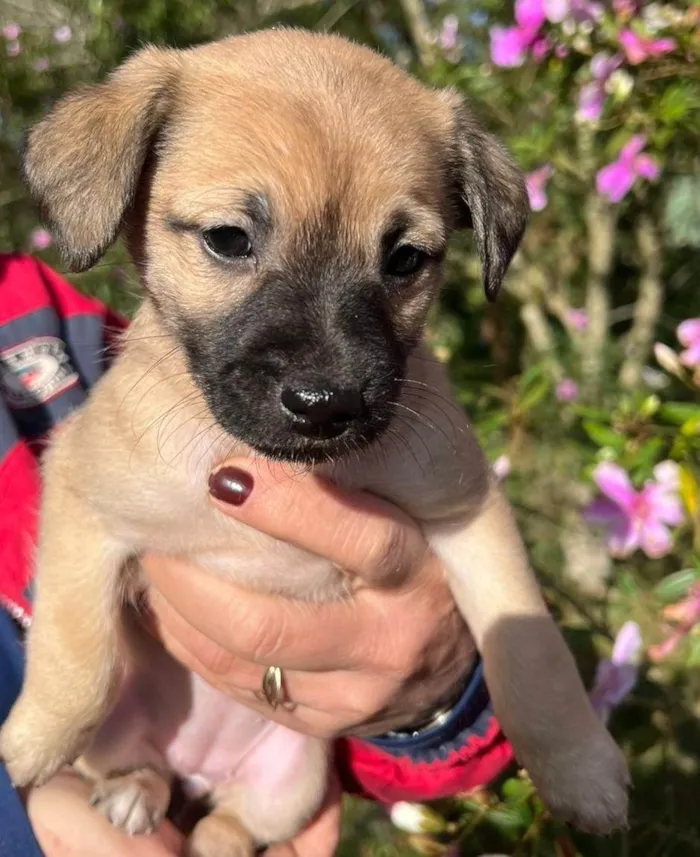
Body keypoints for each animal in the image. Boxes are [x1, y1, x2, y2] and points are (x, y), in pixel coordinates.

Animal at [0, 28, 628, 856]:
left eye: (405, 258)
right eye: (229, 240)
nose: (327, 405)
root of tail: (201, 769)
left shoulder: (471, 511)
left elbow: (531, 650)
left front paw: (582, 768)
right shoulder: (80, 495)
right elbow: (76, 654)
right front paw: (29, 741)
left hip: (294, 775)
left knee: (232, 824)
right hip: (132, 739)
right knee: (143, 765)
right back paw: (134, 790)